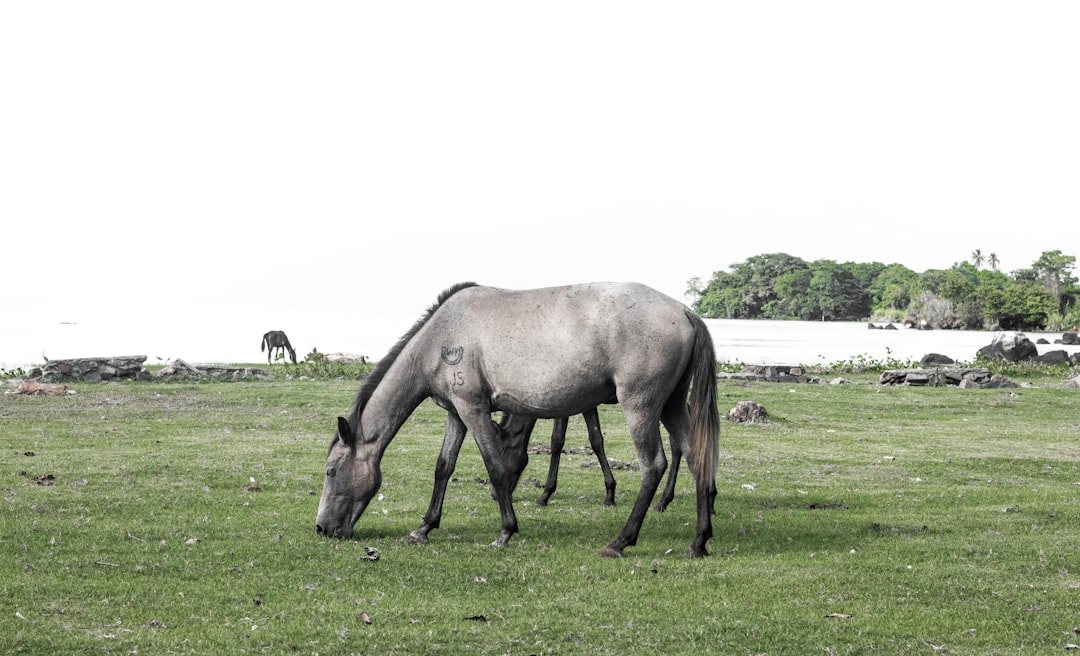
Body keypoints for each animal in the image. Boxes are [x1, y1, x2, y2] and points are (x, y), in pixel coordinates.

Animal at [313, 283, 717, 557]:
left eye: (331, 471)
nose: (321, 528)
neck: (440, 336)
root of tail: (685, 311)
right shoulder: (456, 413)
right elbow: (443, 468)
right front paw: (424, 527)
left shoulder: (473, 410)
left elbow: (494, 466)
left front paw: (506, 530)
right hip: (672, 407)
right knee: (696, 458)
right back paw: (698, 541)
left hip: (641, 407)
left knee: (654, 466)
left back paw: (621, 541)